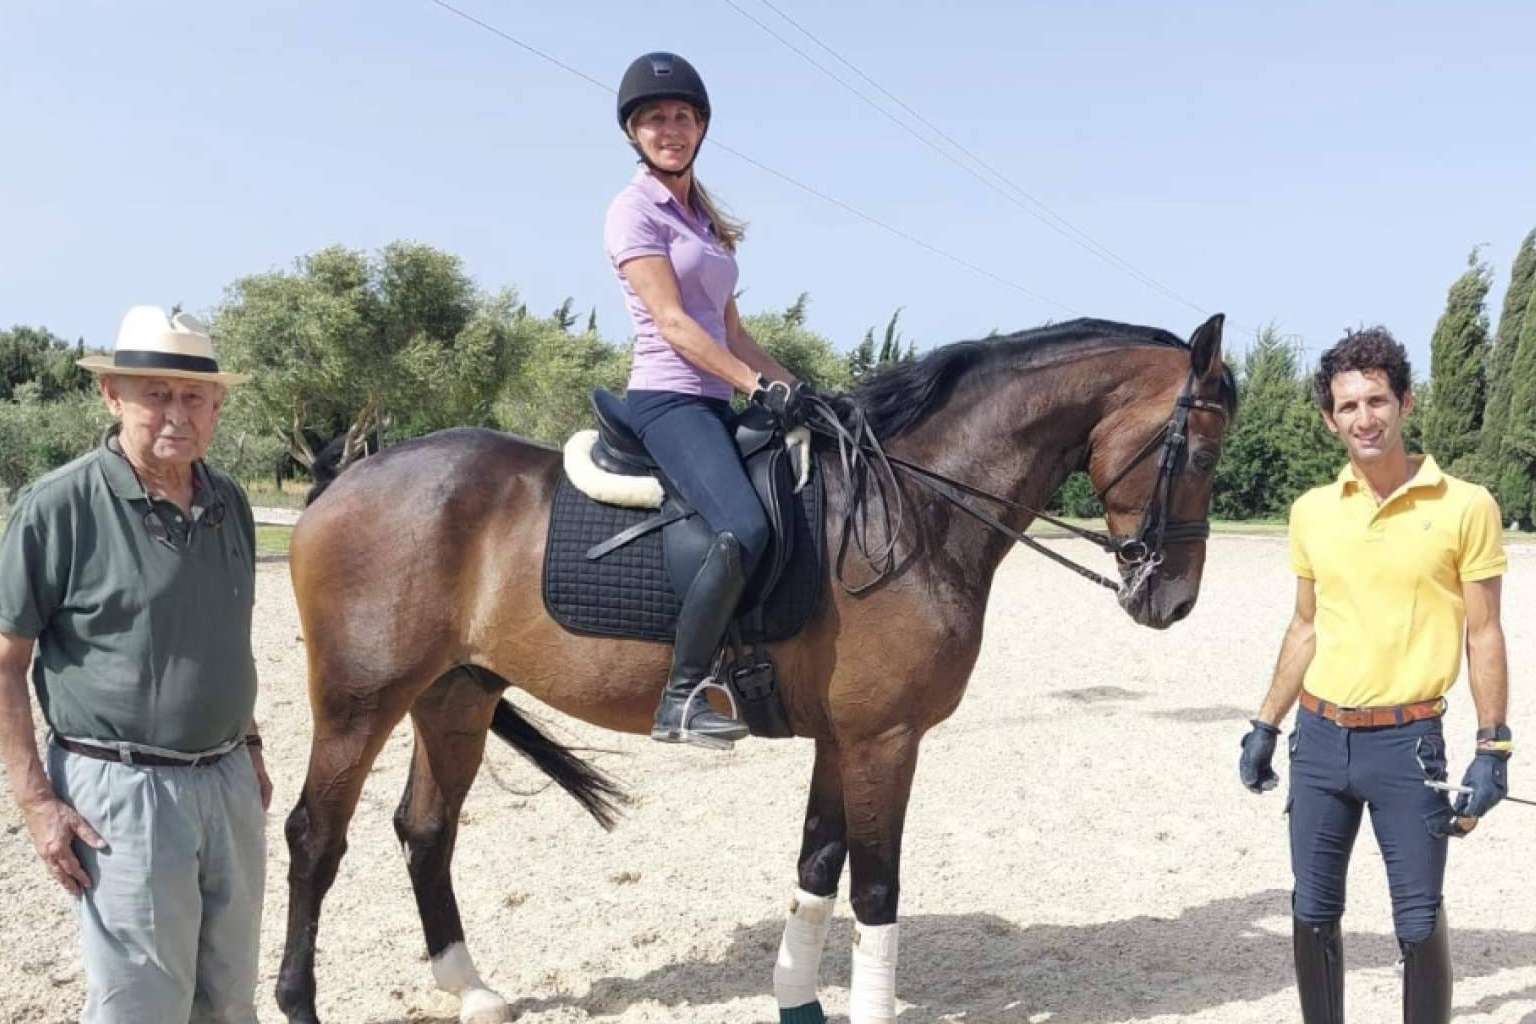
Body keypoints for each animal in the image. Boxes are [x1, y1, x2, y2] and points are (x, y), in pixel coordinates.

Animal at [274, 315, 1236, 1024]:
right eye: (1198, 450)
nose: (1175, 599)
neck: (909, 507)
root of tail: (346, 482)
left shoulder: (843, 739)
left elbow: (817, 868)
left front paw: (797, 1002)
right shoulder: (887, 739)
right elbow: (877, 886)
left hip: (455, 697)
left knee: (425, 830)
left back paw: (471, 989)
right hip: (359, 702)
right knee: (315, 838)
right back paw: (301, 1001)